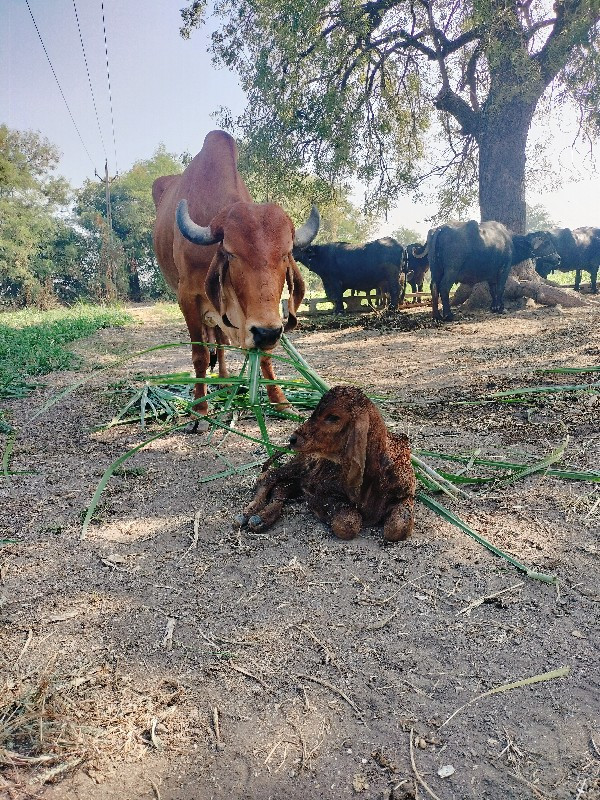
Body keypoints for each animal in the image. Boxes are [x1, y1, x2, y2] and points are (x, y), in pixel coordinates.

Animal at [152, 130, 318, 412]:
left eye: (285, 254)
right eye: (231, 253)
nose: (267, 332)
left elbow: (263, 355)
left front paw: (280, 399)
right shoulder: (187, 298)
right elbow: (199, 355)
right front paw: (199, 408)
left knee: (221, 341)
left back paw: (226, 380)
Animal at [237, 384, 414, 540]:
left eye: (333, 417)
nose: (293, 439)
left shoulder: (406, 496)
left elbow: (397, 528)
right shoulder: (323, 492)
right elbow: (348, 524)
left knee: (281, 487)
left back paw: (262, 519)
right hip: (302, 465)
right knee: (268, 476)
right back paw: (248, 513)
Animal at [424, 222, 560, 322]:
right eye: (547, 242)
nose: (558, 258)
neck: (511, 242)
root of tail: (440, 229)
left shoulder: (491, 273)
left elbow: (492, 290)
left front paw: (494, 306)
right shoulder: (504, 268)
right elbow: (500, 288)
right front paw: (501, 308)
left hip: (435, 270)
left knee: (434, 287)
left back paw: (436, 315)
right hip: (452, 270)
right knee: (444, 287)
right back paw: (448, 315)